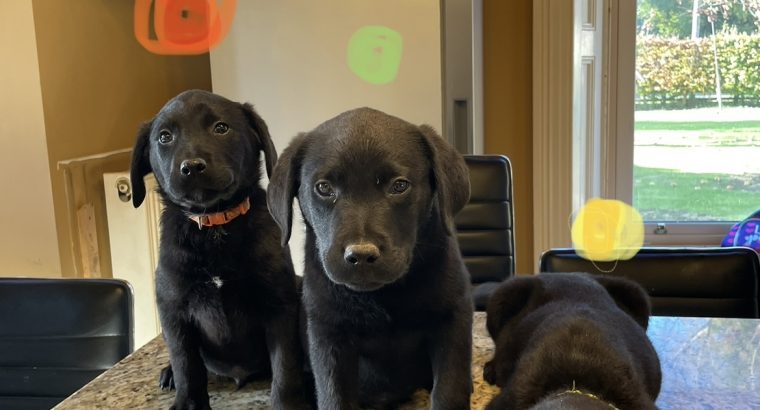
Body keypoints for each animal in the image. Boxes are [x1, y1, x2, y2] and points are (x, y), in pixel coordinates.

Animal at [130, 90, 308, 410]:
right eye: (164, 137)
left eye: (221, 128)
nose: (191, 166)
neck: (213, 226)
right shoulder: (174, 311)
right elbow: (186, 364)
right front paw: (188, 403)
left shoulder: (280, 305)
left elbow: (285, 367)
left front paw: (287, 403)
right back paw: (168, 373)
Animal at [264, 107, 472, 408]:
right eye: (324, 188)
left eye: (399, 186)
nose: (361, 255)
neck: (379, 296)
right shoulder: (329, 335)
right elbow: (334, 397)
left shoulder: (452, 319)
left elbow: (449, 390)